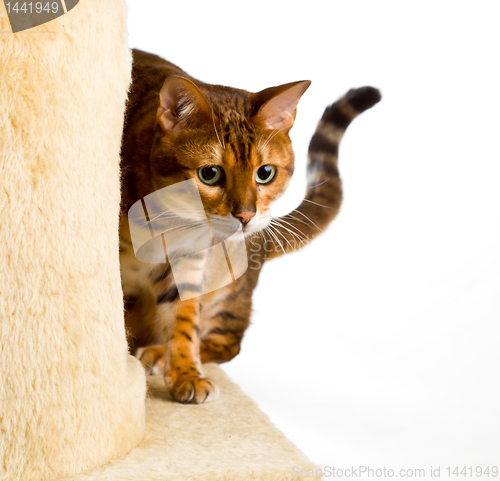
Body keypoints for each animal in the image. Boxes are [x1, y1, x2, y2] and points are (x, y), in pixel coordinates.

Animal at [120, 49, 378, 402]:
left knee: (227, 343)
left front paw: (186, 373)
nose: (245, 215)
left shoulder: (187, 262)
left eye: (265, 173)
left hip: (229, 289)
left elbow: (183, 321)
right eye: (210, 174)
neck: (166, 223)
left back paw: (157, 355)